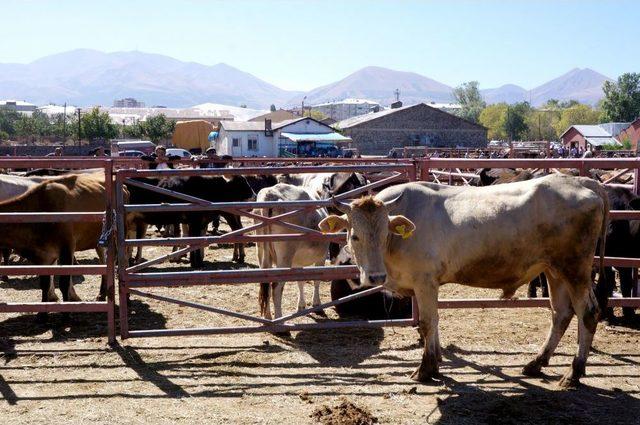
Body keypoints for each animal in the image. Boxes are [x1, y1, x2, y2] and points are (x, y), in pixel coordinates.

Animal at [254, 184, 328, 320]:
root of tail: (270, 193)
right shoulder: (322, 256)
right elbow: (317, 280)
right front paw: (317, 305)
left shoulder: (298, 261)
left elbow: (300, 281)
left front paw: (301, 305)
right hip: (285, 256)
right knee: (276, 287)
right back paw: (279, 319)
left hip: (261, 251)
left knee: (266, 284)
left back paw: (268, 317)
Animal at [322, 173, 608, 388]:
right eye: (354, 235)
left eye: (384, 234)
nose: (376, 276)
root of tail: (582, 181)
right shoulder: (428, 284)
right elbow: (434, 322)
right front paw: (436, 362)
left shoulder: (424, 281)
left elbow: (427, 323)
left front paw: (425, 370)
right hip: (553, 270)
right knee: (560, 313)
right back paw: (536, 363)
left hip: (575, 268)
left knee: (587, 313)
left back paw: (573, 373)